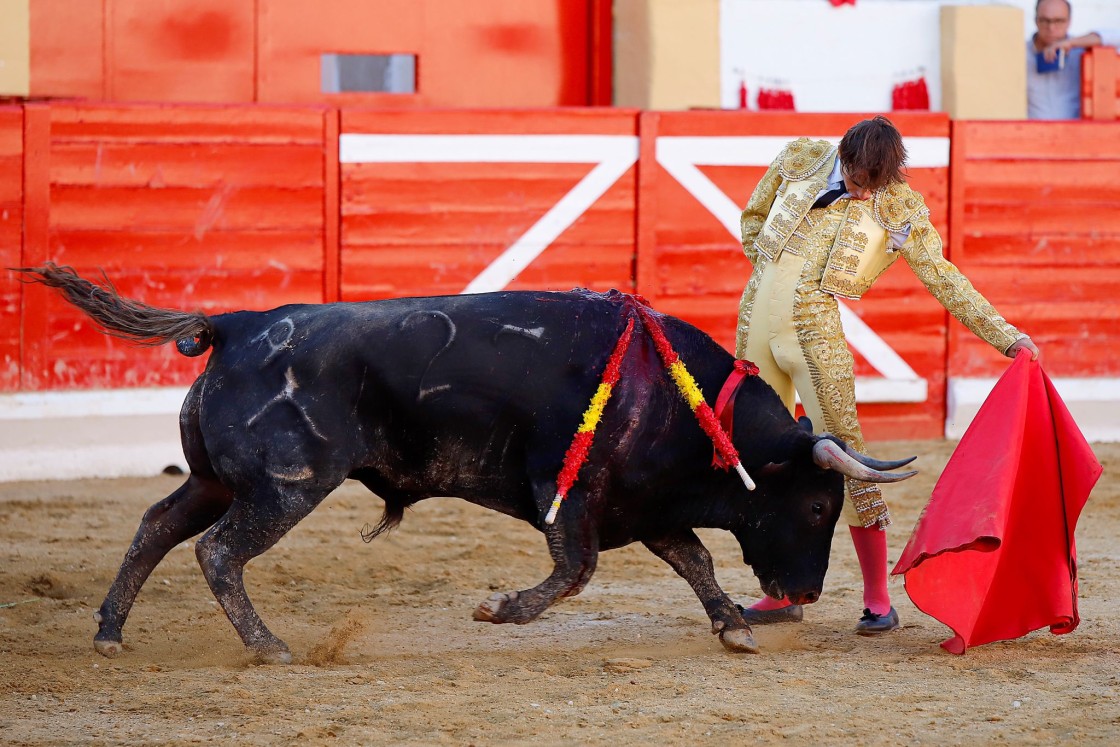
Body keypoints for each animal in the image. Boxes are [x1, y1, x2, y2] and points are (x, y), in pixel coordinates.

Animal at [15, 265, 909, 663]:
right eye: (819, 506)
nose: (806, 593)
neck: (681, 400)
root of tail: (239, 322)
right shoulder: (570, 495)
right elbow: (576, 570)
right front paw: (500, 609)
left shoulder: (644, 505)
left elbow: (694, 562)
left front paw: (732, 626)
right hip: (284, 487)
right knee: (216, 550)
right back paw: (269, 644)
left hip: (213, 480)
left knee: (157, 526)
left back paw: (109, 629)